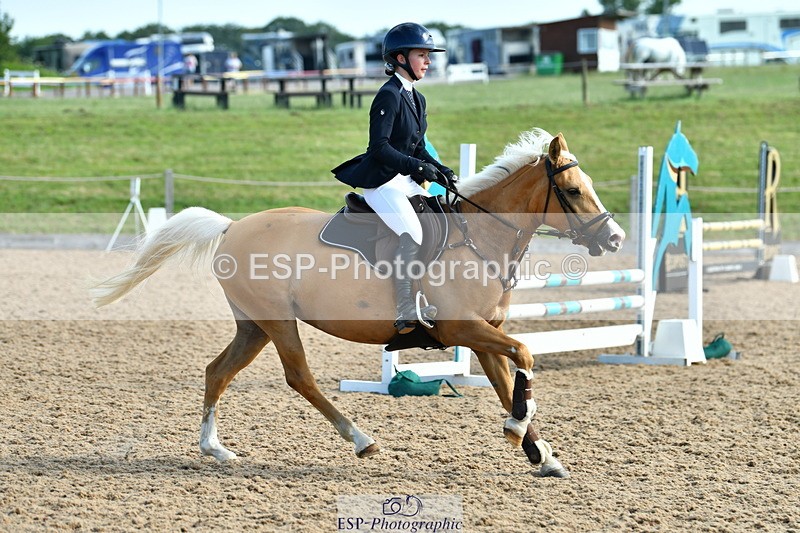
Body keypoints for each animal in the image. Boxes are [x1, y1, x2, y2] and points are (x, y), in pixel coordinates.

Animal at [92, 128, 626, 479]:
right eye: (573, 191)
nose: (616, 239)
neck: (482, 235)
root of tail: (230, 226)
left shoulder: (483, 335)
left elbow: (506, 379)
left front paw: (539, 452)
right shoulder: (459, 329)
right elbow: (526, 355)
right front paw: (519, 431)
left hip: (254, 325)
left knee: (217, 371)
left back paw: (215, 449)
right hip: (277, 321)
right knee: (299, 377)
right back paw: (361, 440)